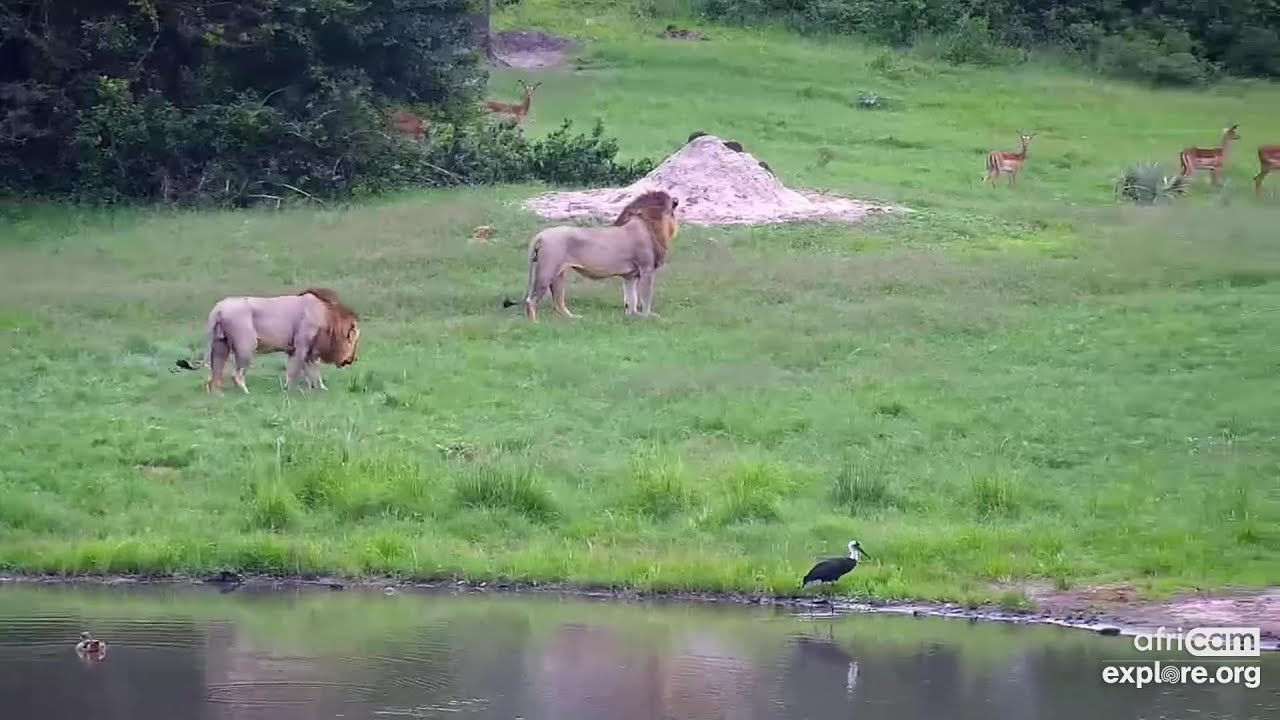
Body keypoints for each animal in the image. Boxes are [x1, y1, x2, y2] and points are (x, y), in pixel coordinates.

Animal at [176, 287, 360, 393]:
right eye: (353, 341)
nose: (351, 359)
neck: (328, 319)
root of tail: (218, 309)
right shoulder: (301, 346)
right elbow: (295, 370)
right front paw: (287, 390)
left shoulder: (307, 351)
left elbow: (313, 372)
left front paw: (320, 389)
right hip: (247, 345)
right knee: (236, 375)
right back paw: (246, 393)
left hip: (220, 346)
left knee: (215, 375)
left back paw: (218, 394)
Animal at [501, 190, 680, 321]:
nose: (677, 199)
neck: (651, 224)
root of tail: (540, 235)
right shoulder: (646, 268)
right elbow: (645, 297)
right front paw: (648, 317)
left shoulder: (630, 275)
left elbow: (631, 299)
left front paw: (632, 317)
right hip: (547, 271)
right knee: (531, 301)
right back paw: (535, 323)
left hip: (558, 275)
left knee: (558, 303)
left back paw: (575, 319)